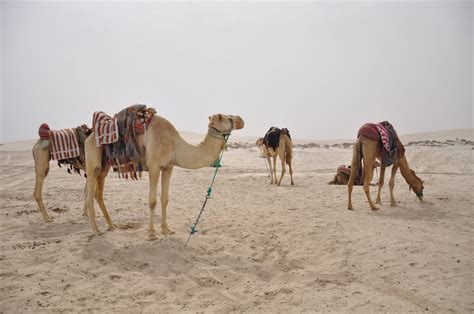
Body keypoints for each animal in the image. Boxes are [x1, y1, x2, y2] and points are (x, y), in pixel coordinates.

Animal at [83, 111, 244, 239]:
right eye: (227, 118)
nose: (241, 120)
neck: (175, 144)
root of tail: (89, 136)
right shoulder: (154, 167)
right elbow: (152, 201)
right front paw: (151, 234)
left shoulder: (168, 167)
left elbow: (165, 199)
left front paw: (166, 230)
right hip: (92, 163)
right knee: (89, 195)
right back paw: (96, 230)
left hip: (105, 166)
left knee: (98, 194)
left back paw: (112, 226)